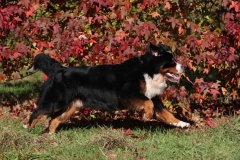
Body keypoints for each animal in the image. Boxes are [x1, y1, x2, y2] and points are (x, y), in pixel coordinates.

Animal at [23, 42, 190, 134]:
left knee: (54, 121)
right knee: (38, 111)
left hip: (69, 108)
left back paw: (51, 138)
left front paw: (182, 123)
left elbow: (167, 114)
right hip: (55, 102)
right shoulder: (127, 93)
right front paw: (147, 115)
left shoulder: (154, 98)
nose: (185, 67)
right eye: (171, 61)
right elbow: (147, 104)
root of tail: (59, 70)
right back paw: (27, 127)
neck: (148, 70)